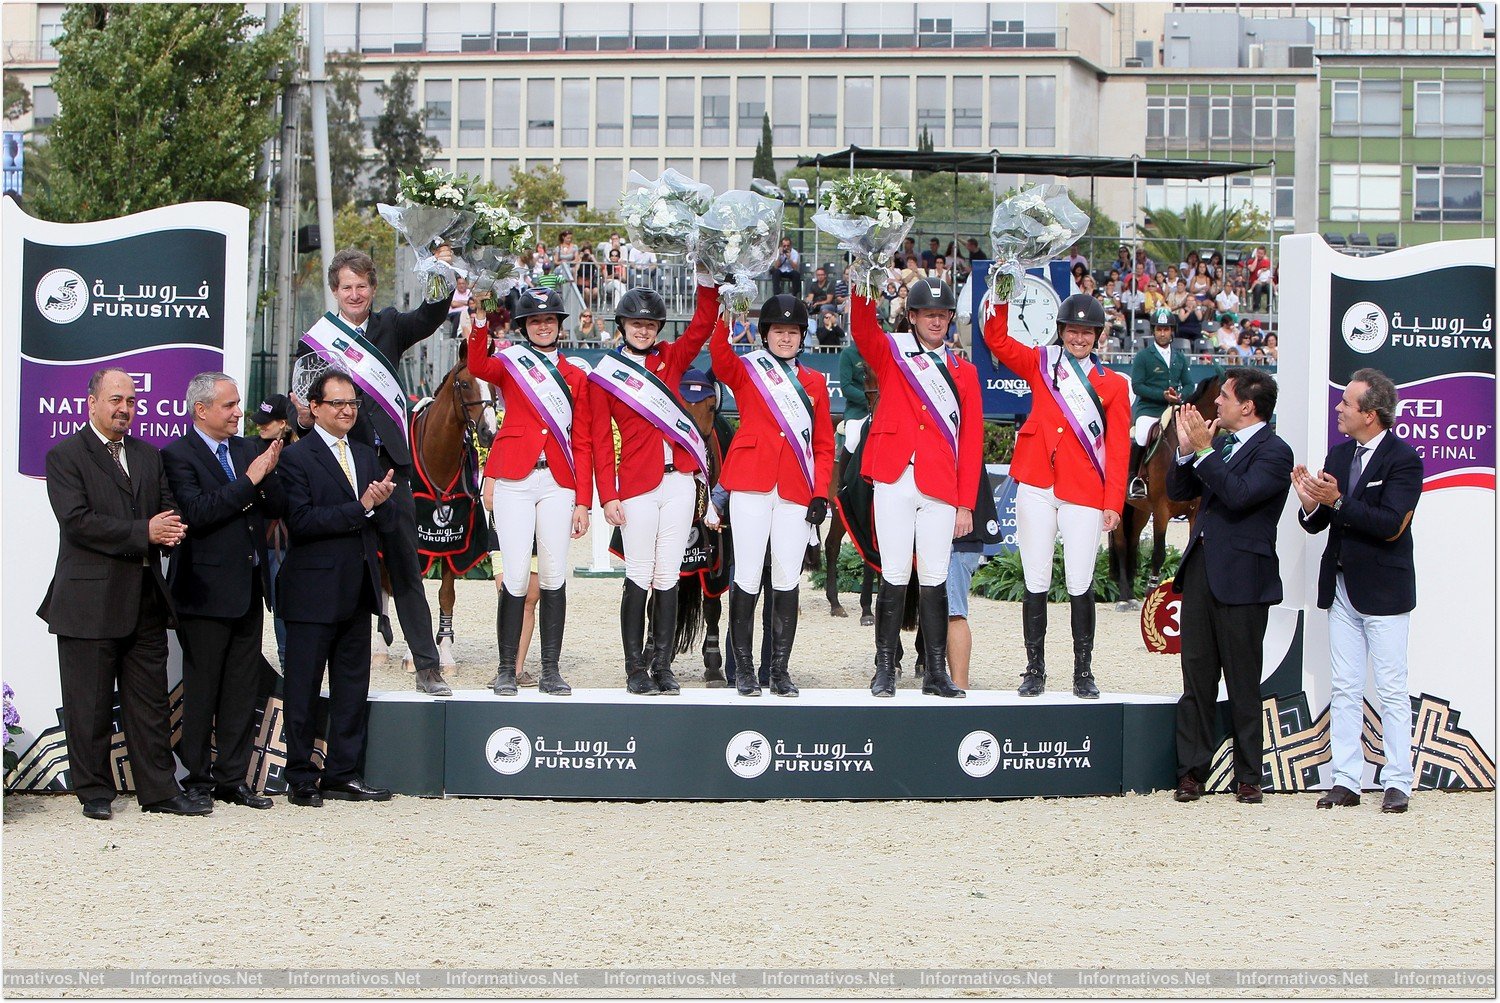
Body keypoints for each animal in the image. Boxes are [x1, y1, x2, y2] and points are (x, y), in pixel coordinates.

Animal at [1110, 371, 1224, 611]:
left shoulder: (1194, 512)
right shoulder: (1162, 510)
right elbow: (1158, 552)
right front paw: (1152, 591)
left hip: (1141, 511)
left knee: (1133, 542)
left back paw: (1131, 597)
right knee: (1123, 545)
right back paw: (1124, 598)